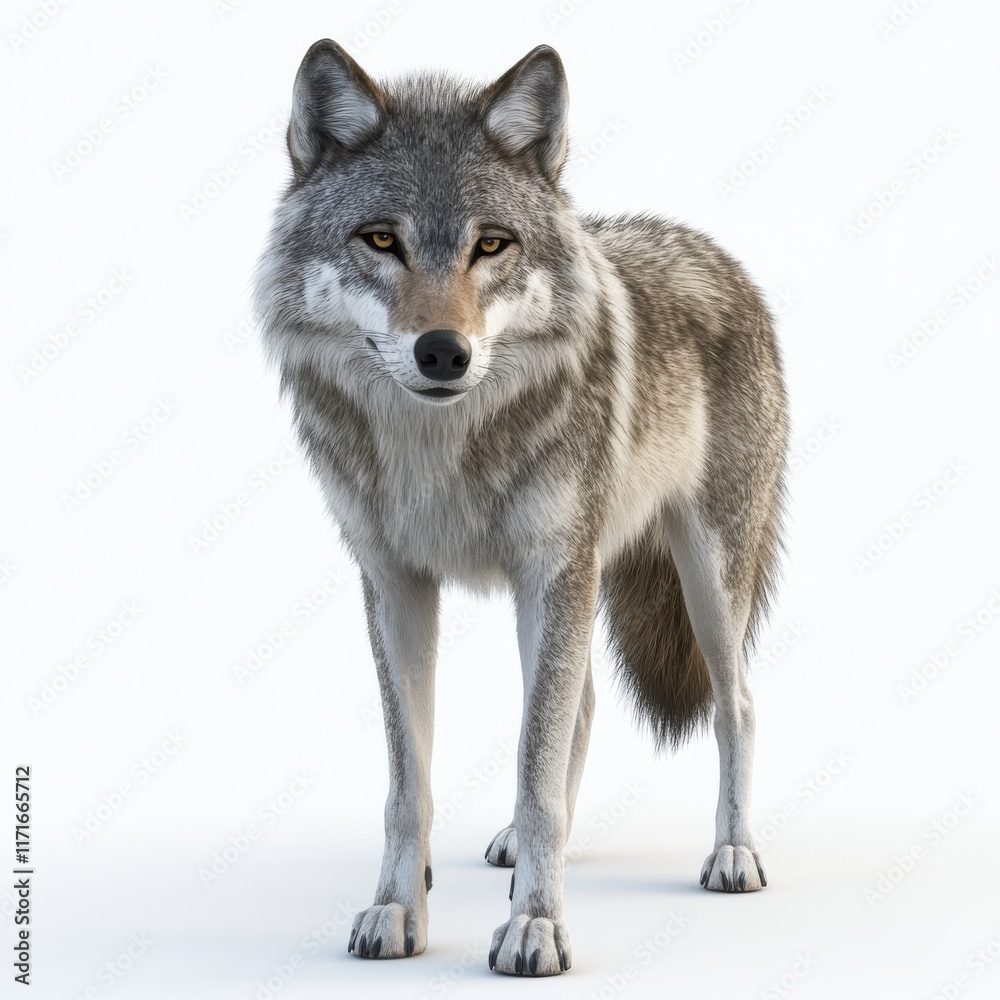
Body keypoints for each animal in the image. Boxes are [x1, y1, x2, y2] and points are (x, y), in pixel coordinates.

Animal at [253, 39, 788, 977]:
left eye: (490, 245)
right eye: (381, 240)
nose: (443, 351)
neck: (439, 453)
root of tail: (712, 249)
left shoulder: (553, 571)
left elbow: (534, 767)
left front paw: (536, 926)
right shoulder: (395, 583)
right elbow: (409, 782)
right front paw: (398, 909)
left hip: (706, 581)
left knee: (738, 705)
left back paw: (732, 853)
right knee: (589, 704)